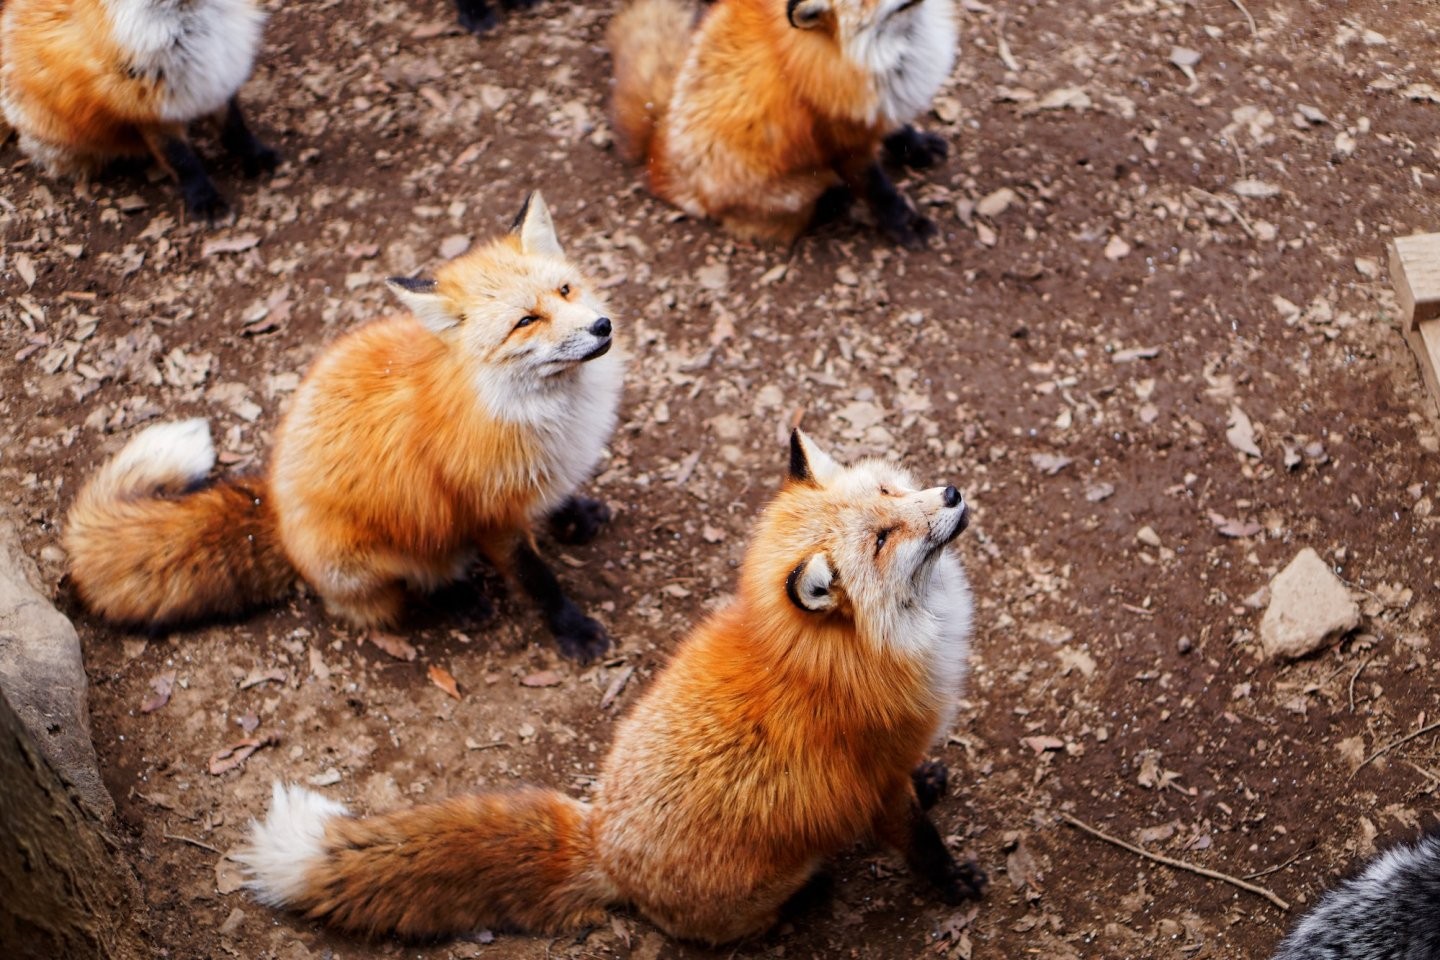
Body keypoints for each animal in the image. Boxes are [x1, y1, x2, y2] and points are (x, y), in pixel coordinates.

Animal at [0, 0, 277, 218]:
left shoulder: (215, 79)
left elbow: (234, 129)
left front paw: (256, 155)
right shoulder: (150, 110)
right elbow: (181, 160)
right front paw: (204, 199)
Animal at [64, 192, 623, 661]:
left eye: (565, 289)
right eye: (525, 321)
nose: (602, 327)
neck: (542, 413)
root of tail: (276, 509)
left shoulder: (544, 471)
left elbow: (557, 500)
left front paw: (577, 513)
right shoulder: (490, 515)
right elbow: (538, 580)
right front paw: (573, 631)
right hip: (378, 557)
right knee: (408, 589)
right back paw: (458, 597)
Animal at [239, 430, 985, 944]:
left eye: (888, 493)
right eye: (883, 538)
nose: (953, 494)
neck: (842, 654)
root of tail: (600, 844)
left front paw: (931, 778)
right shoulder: (875, 785)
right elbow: (921, 843)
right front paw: (953, 882)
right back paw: (812, 892)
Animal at [607, 0, 957, 246]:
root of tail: (657, 146)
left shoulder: (879, 108)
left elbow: (899, 132)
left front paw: (920, 147)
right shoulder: (844, 144)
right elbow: (881, 193)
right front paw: (906, 225)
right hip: (785, 190)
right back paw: (835, 200)